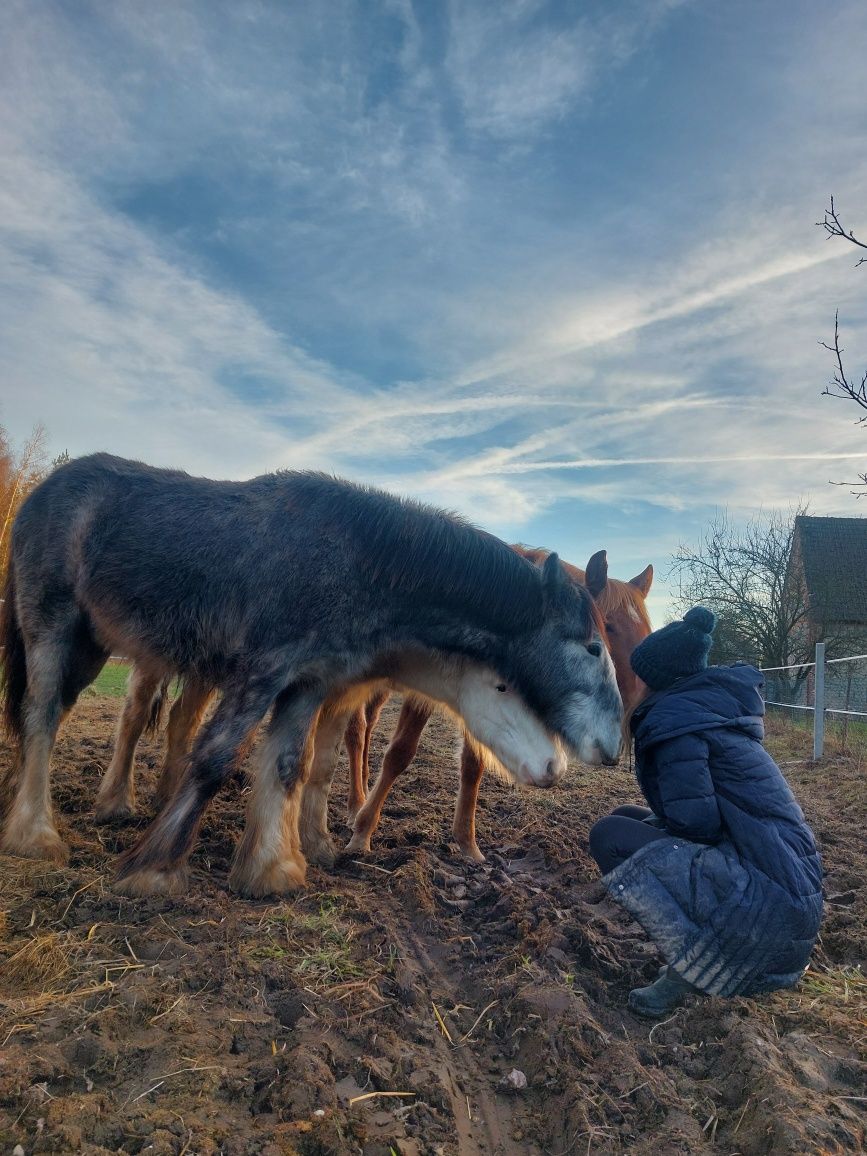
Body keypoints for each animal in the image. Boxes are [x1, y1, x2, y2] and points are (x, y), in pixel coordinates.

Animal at [346, 545, 651, 864]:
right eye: (608, 628)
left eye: (646, 630)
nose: (636, 709)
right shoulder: (426, 696)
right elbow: (399, 754)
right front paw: (362, 834)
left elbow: (473, 766)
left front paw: (467, 844)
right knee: (356, 732)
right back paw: (356, 805)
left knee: (368, 727)